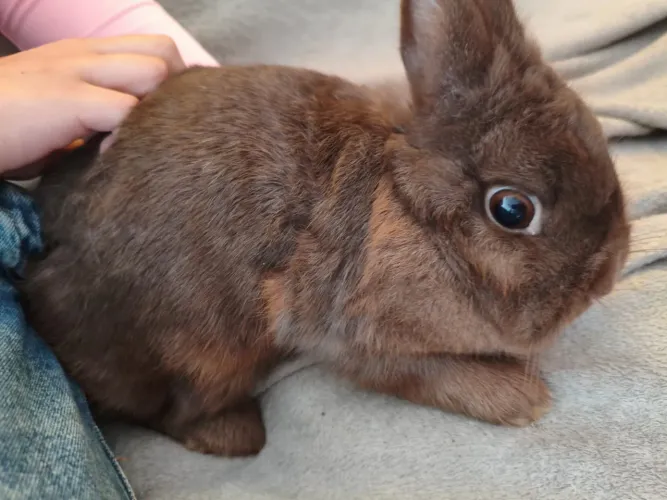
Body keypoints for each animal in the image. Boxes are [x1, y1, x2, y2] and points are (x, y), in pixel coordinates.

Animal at [19, 0, 630, 457]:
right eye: (511, 210)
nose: (608, 274)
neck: (410, 209)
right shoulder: (354, 331)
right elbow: (419, 372)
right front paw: (522, 400)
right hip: (206, 348)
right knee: (174, 411)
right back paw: (238, 435)